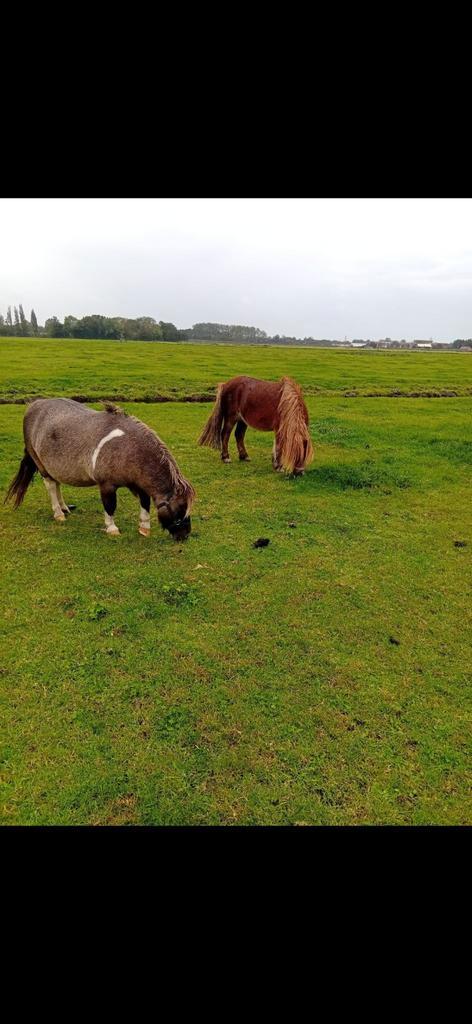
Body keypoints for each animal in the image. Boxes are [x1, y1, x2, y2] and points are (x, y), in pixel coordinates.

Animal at [5, 399, 195, 541]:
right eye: (181, 509)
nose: (184, 535)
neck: (128, 447)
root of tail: (34, 405)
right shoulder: (107, 485)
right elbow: (110, 506)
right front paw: (112, 528)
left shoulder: (138, 484)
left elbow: (145, 503)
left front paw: (144, 528)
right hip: (42, 466)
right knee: (51, 486)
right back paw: (58, 513)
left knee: (57, 484)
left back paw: (64, 507)